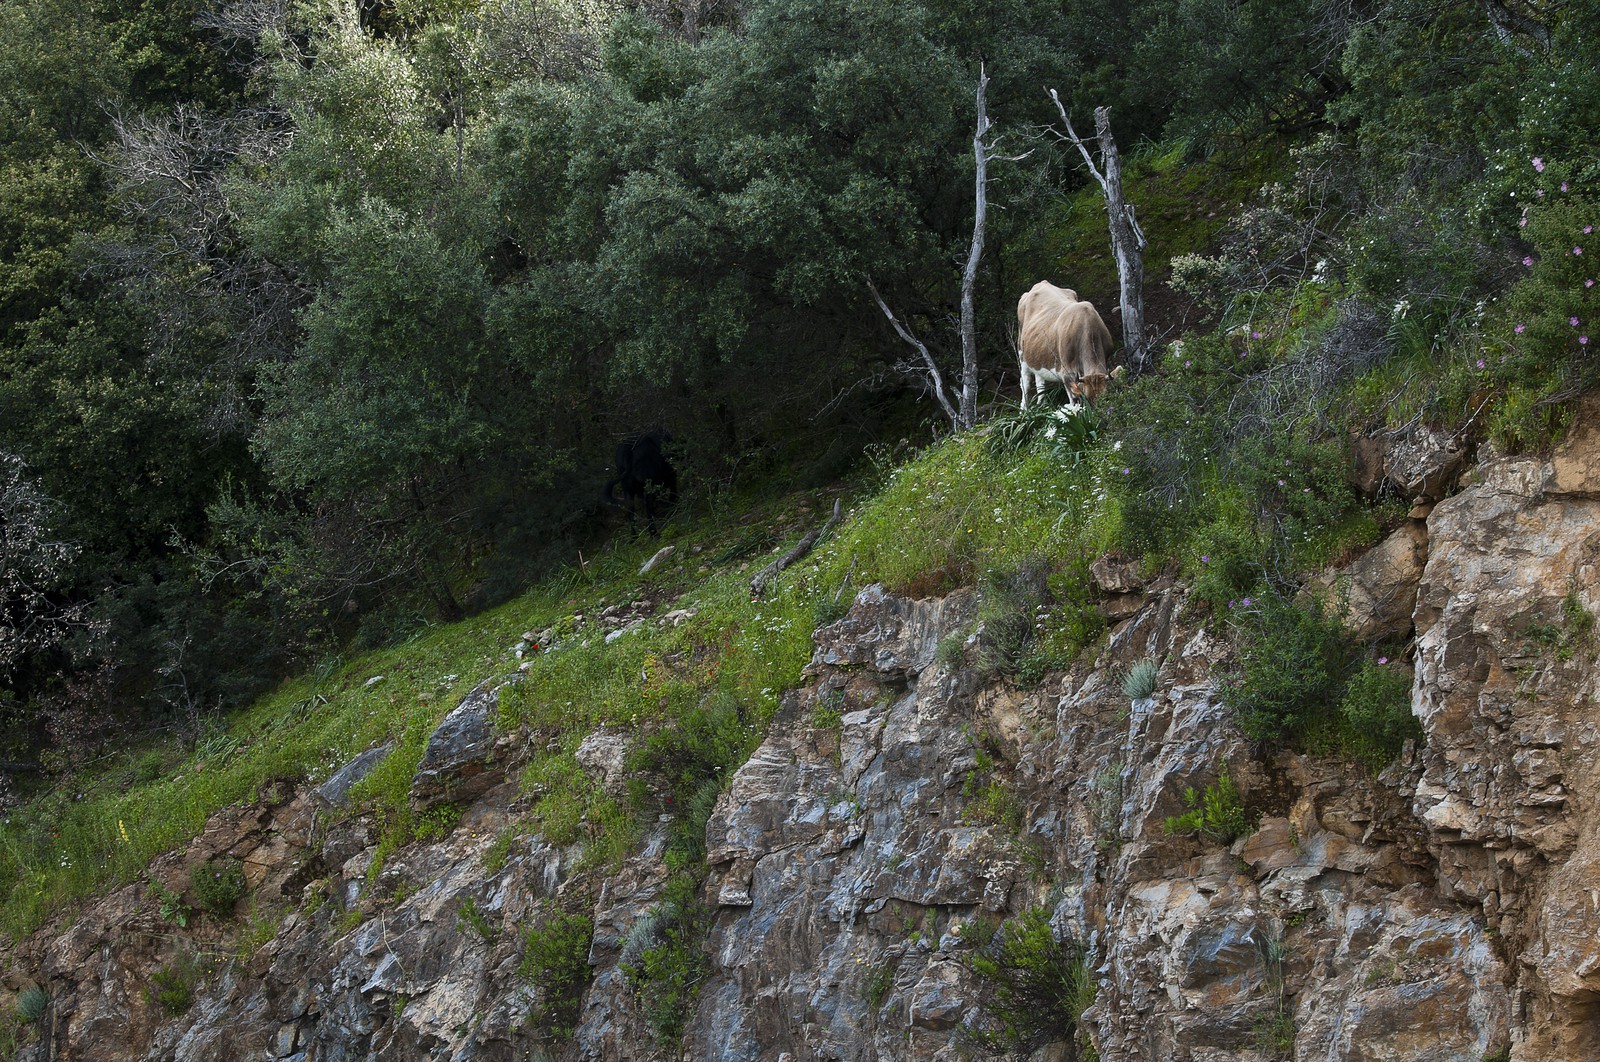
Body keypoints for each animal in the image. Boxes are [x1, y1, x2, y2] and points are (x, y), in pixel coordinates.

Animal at [1016, 280, 1115, 409]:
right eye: (1088, 398)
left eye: (1106, 397)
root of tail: (1041, 283)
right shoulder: (1067, 373)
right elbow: (1074, 401)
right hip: (1021, 352)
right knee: (1025, 382)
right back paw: (1024, 410)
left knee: (1039, 381)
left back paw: (1042, 405)